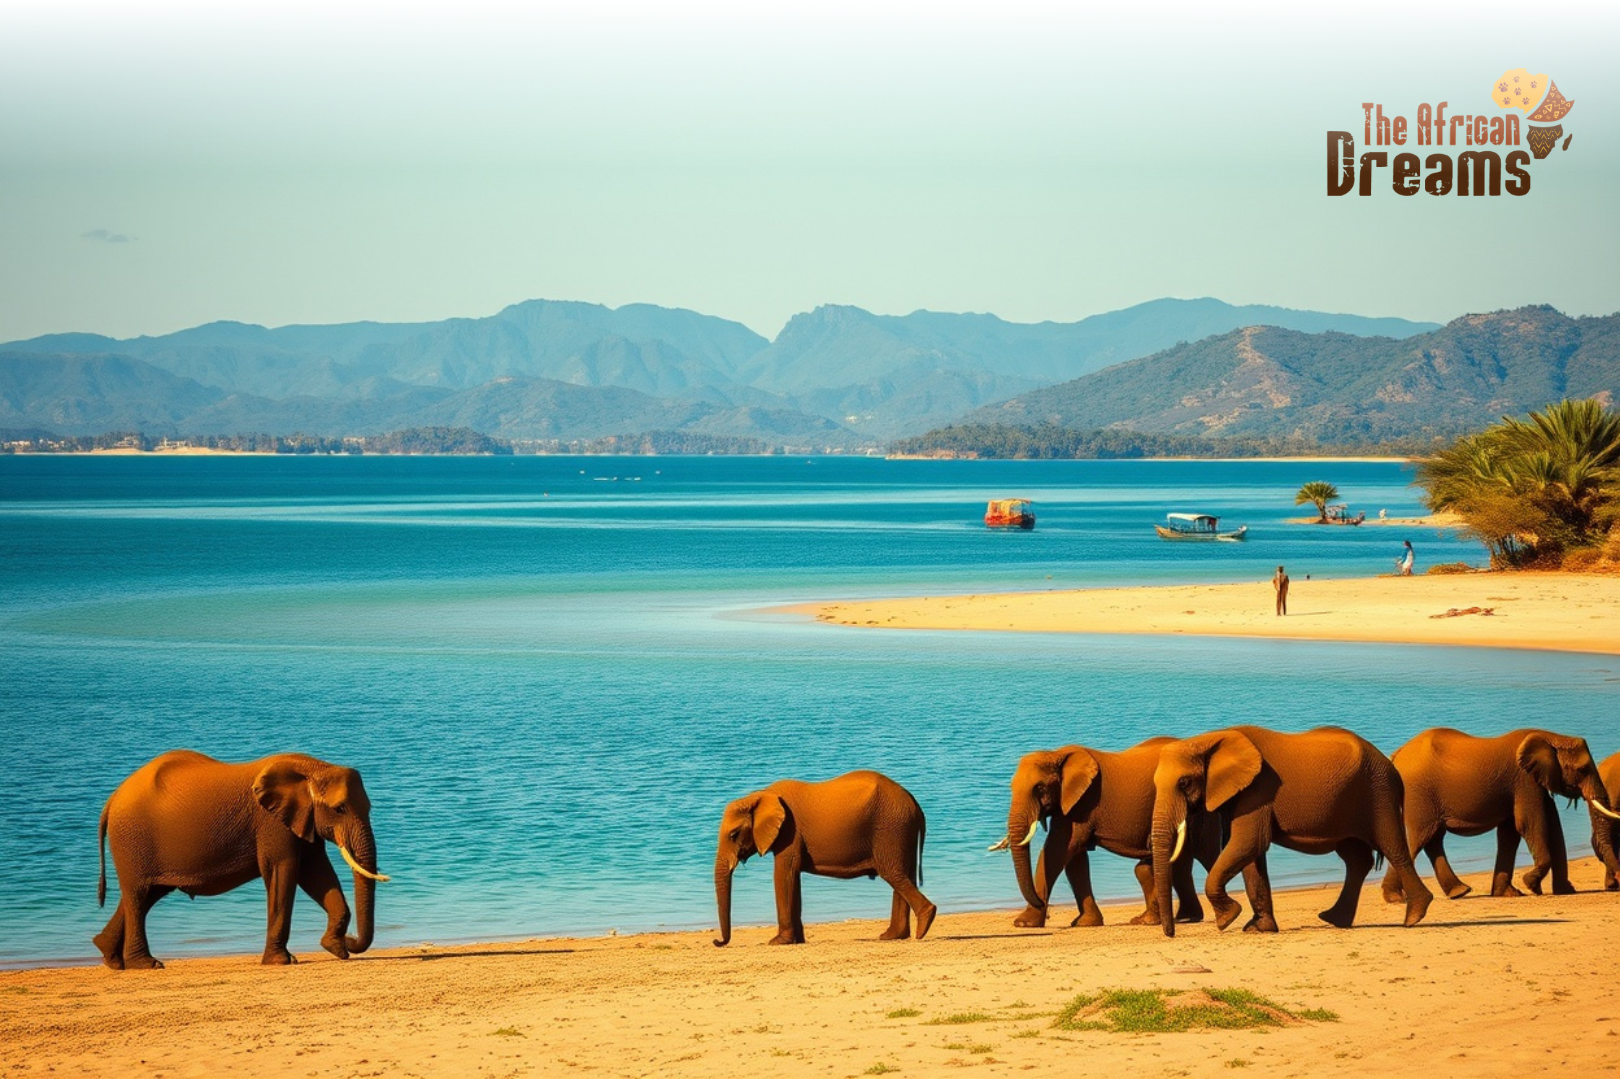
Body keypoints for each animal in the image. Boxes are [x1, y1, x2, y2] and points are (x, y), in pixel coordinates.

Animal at [94, 750, 389, 969]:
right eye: (339, 809)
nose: (350, 940)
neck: (313, 768)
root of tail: (112, 798)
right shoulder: (272, 823)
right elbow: (284, 871)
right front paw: (282, 961)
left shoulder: (303, 820)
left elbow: (317, 875)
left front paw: (334, 948)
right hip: (131, 840)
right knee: (138, 896)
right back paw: (146, 964)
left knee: (147, 895)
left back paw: (111, 958)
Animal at [713, 770, 934, 946]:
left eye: (733, 835)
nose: (717, 941)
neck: (761, 795)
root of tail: (915, 803)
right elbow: (793, 878)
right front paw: (797, 941)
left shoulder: (789, 832)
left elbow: (783, 875)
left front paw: (777, 942)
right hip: (900, 828)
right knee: (902, 874)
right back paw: (893, 936)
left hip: (891, 827)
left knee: (892, 872)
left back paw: (924, 923)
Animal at [989, 738, 1223, 928]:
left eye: (1039, 788)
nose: (1043, 906)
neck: (1057, 754)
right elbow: (1076, 860)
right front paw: (1086, 923)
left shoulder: (1083, 802)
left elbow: (1057, 851)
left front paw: (1023, 923)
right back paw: (1186, 918)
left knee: (1205, 852)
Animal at [1149, 725, 1433, 937]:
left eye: (1184, 782)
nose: (1171, 933)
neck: (1209, 739)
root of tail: (1393, 766)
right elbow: (1250, 856)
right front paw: (1258, 929)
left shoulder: (1257, 789)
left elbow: (1248, 843)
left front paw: (1228, 919)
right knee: (1356, 859)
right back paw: (1335, 919)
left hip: (1379, 794)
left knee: (1392, 847)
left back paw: (1413, 918)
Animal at [1380, 728, 1620, 902]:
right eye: (1582, 770)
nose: (1616, 880)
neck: (1551, 736)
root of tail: (1397, 754)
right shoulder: (1525, 781)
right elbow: (1529, 824)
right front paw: (1531, 885)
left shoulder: (1534, 783)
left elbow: (1516, 832)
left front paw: (1518, 893)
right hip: (1418, 794)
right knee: (1420, 837)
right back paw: (1396, 898)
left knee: (1433, 839)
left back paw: (1458, 892)